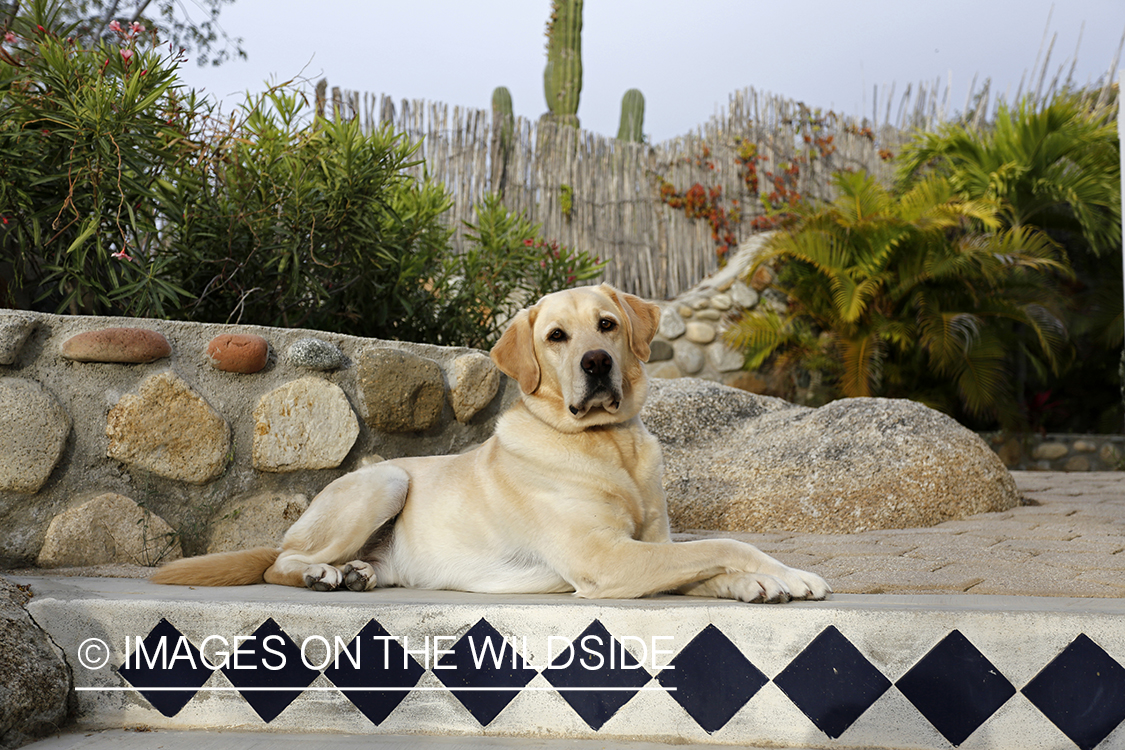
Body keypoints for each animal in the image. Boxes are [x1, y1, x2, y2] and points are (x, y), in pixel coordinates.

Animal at [154, 283, 832, 602]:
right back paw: (323, 572)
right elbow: (723, 543)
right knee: (280, 562)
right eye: (556, 336)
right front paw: (786, 574)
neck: (608, 447)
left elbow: (702, 565)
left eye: (607, 324)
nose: (595, 363)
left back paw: (354, 573)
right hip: (386, 479)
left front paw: (756, 584)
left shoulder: (650, 547)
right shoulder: (606, 558)